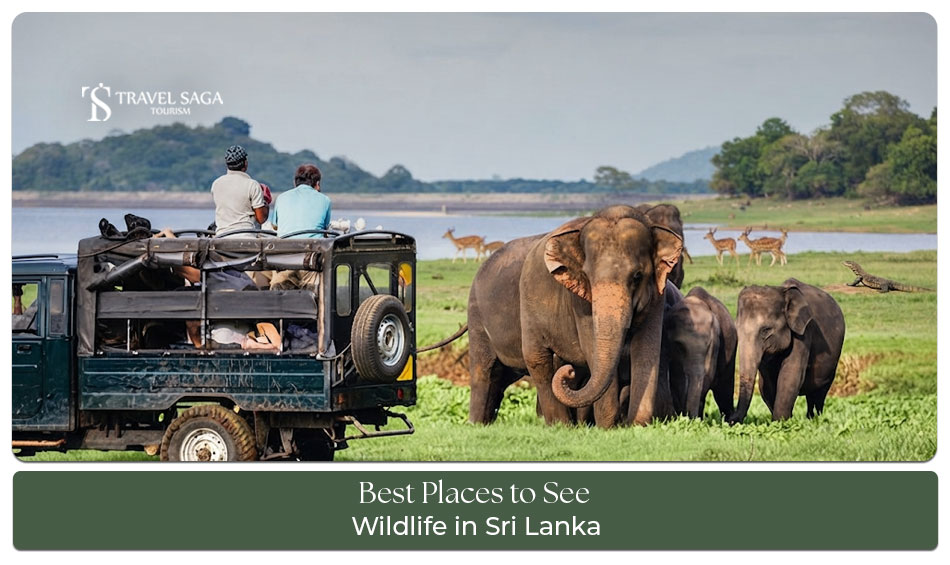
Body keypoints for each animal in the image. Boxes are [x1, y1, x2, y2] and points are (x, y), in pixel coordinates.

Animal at [728, 278, 845, 423]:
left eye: (766, 330)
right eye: (736, 329)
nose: (730, 419)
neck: (781, 291)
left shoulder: (804, 332)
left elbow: (790, 374)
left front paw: (781, 422)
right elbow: (766, 384)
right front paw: (780, 422)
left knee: (818, 394)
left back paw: (815, 419)